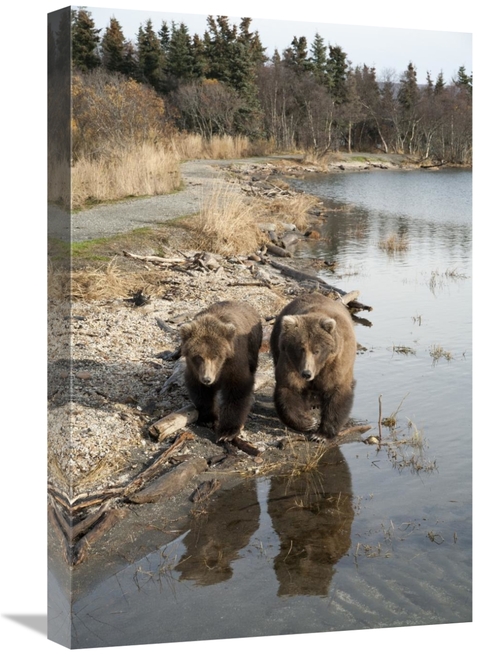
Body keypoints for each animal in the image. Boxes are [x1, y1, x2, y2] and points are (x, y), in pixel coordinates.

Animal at [180, 300, 263, 443]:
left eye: (215, 356)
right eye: (198, 357)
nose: (207, 379)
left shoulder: (234, 361)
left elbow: (237, 390)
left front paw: (227, 431)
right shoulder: (195, 369)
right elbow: (201, 391)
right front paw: (208, 418)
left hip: (253, 344)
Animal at [270, 292, 357, 441]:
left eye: (317, 350)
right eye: (300, 349)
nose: (306, 373)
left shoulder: (335, 362)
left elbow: (336, 391)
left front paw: (321, 435)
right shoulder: (290, 362)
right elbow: (289, 388)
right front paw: (309, 422)